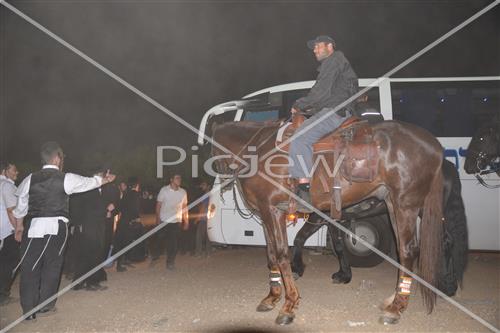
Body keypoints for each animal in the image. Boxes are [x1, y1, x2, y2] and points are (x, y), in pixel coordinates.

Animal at [209, 117, 444, 324]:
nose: (222, 175)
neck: (259, 151)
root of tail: (434, 145)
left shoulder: (274, 211)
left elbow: (282, 254)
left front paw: (289, 304)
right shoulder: (265, 213)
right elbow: (271, 256)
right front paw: (272, 297)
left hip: (406, 205)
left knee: (408, 251)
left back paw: (396, 309)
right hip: (392, 204)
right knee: (404, 252)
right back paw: (394, 301)